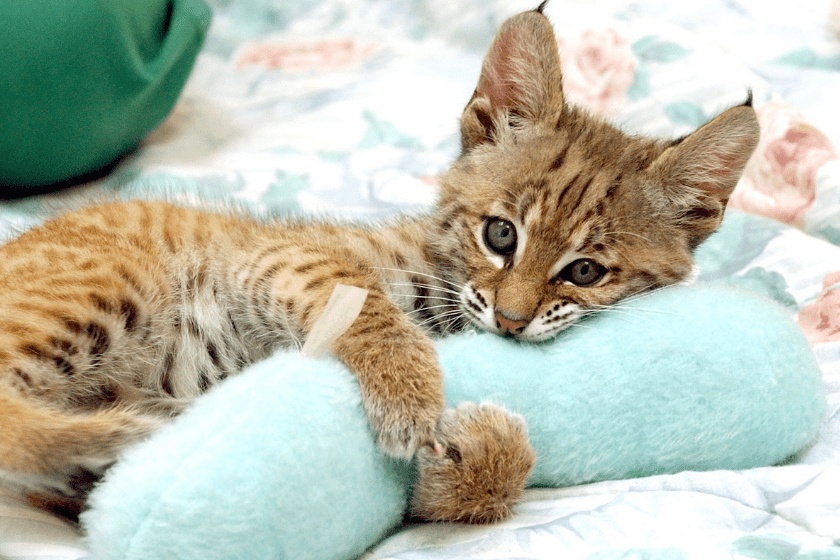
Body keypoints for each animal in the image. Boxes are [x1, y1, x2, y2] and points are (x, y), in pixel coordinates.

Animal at [0, 4, 760, 524]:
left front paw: (477, 458)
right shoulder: (276, 254)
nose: (512, 323)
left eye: (584, 274)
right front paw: (411, 398)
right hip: (114, 283)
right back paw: (121, 431)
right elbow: (369, 301)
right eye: (501, 235)